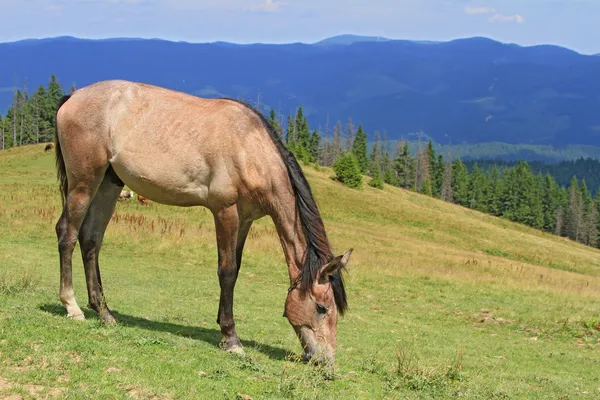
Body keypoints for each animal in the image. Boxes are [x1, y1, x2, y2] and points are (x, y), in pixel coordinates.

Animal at [54, 79, 354, 366]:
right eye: (322, 308)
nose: (325, 362)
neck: (249, 148)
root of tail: (74, 96)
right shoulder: (225, 212)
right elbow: (227, 272)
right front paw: (232, 339)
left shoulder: (245, 219)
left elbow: (236, 268)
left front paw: (224, 327)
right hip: (84, 183)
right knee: (67, 233)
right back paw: (72, 306)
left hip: (108, 184)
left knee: (91, 239)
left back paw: (104, 312)